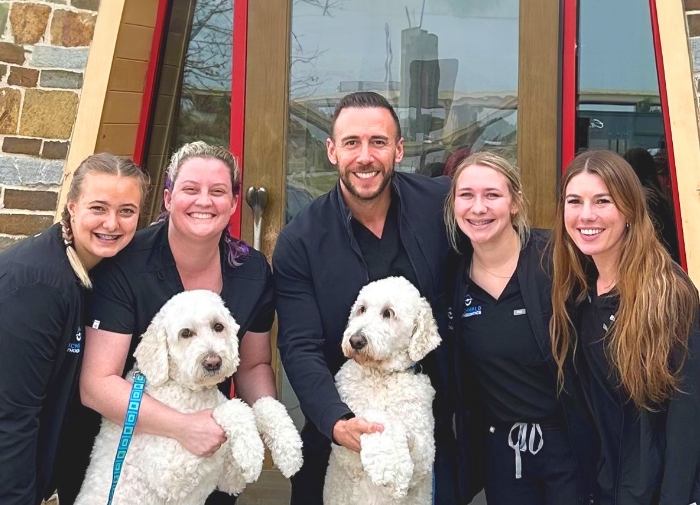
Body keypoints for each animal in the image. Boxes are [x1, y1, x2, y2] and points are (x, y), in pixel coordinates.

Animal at [75, 290, 302, 502]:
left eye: (218, 326)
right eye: (185, 333)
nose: (213, 362)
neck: (187, 390)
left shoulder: (229, 479)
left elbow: (264, 405)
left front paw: (290, 451)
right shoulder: (170, 472)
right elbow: (234, 408)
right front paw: (253, 452)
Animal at [324, 276, 442, 504]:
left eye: (388, 313)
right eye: (361, 309)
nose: (356, 340)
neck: (381, 376)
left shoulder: (425, 452)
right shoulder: (344, 448)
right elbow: (377, 416)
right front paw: (389, 468)